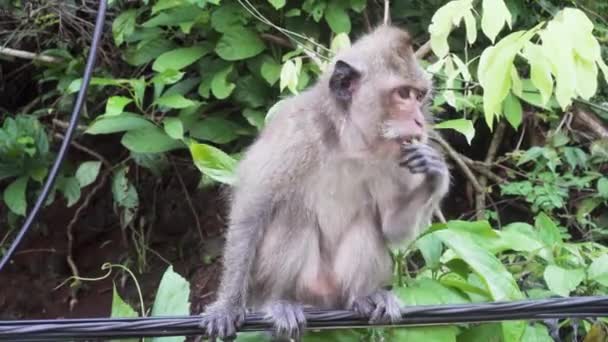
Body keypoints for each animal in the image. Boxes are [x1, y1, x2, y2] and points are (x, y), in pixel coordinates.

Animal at [197, 23, 448, 340]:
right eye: (403, 94)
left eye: (419, 95)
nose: (419, 121)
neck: (349, 142)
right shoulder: (294, 132)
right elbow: (251, 213)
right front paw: (227, 305)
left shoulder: (398, 158)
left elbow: (392, 228)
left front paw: (435, 172)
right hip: (301, 286)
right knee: (292, 216)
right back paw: (278, 303)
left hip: (335, 286)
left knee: (366, 223)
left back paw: (364, 296)